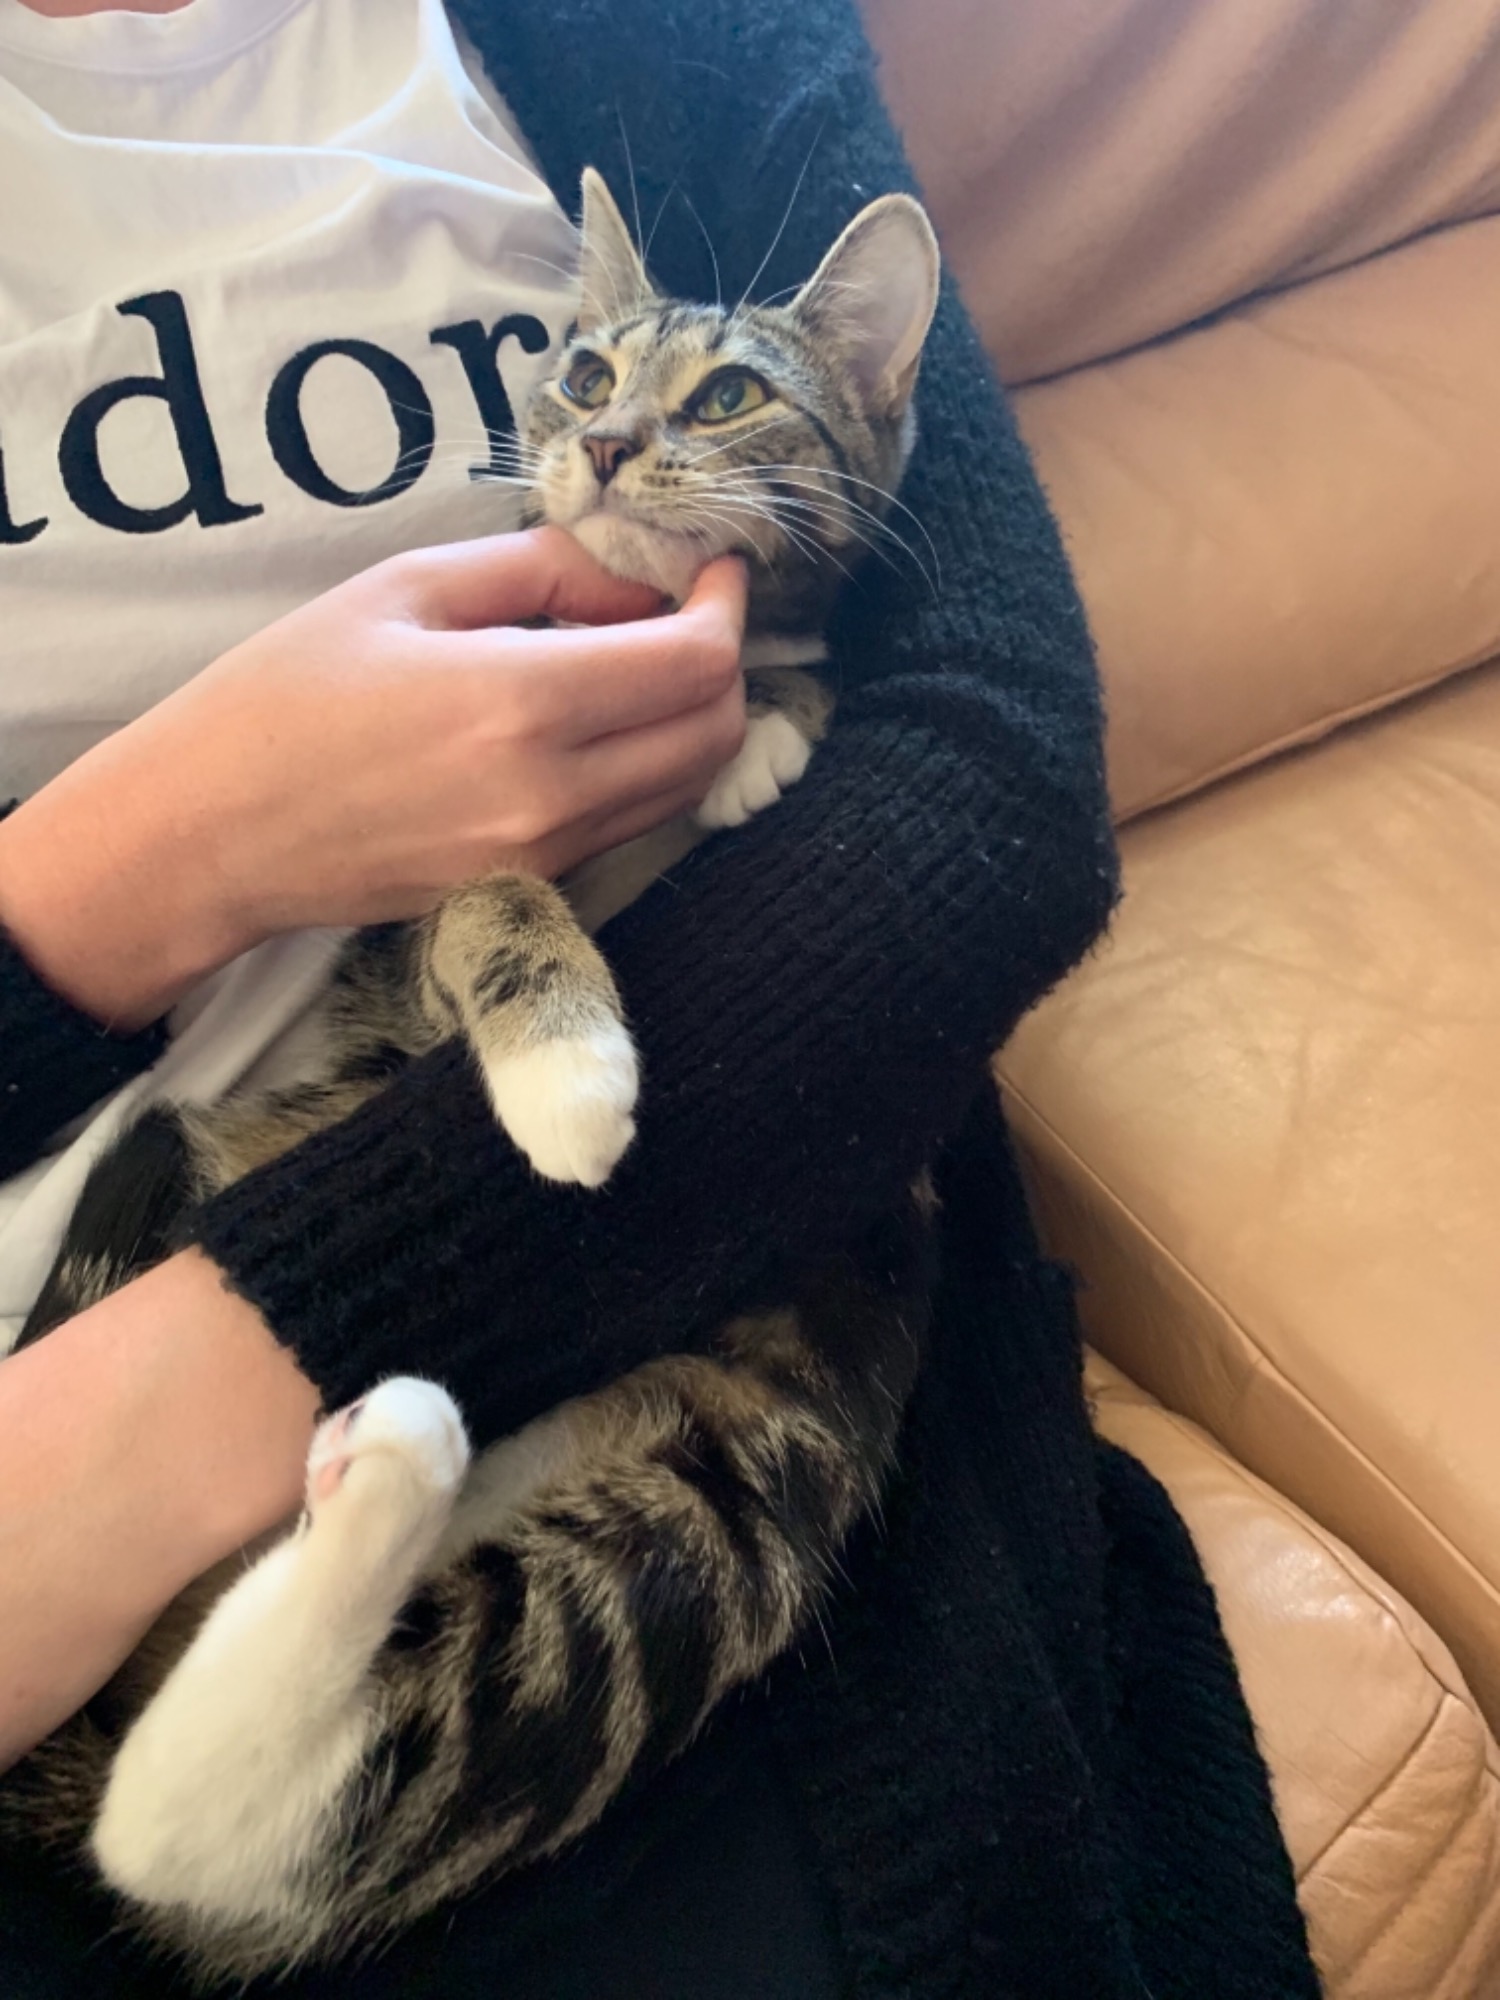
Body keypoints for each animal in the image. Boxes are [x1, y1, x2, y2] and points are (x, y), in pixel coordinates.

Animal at [0, 168, 942, 1985]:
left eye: (730, 394)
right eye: (583, 372)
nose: (608, 444)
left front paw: (764, 726)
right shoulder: (407, 917)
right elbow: (489, 890)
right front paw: (570, 1067)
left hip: (731, 1497)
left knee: (267, 1796)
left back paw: (382, 1471)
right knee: (170, 1831)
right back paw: (392, 1462)